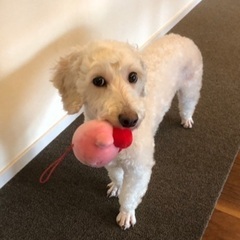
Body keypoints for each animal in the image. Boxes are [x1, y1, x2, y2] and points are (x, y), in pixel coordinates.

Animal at [52, 33, 202, 229]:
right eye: (98, 80)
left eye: (133, 76)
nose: (131, 120)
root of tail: (181, 37)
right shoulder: (110, 161)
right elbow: (116, 175)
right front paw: (116, 185)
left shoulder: (138, 170)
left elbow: (129, 195)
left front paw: (126, 213)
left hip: (191, 86)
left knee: (188, 104)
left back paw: (186, 119)